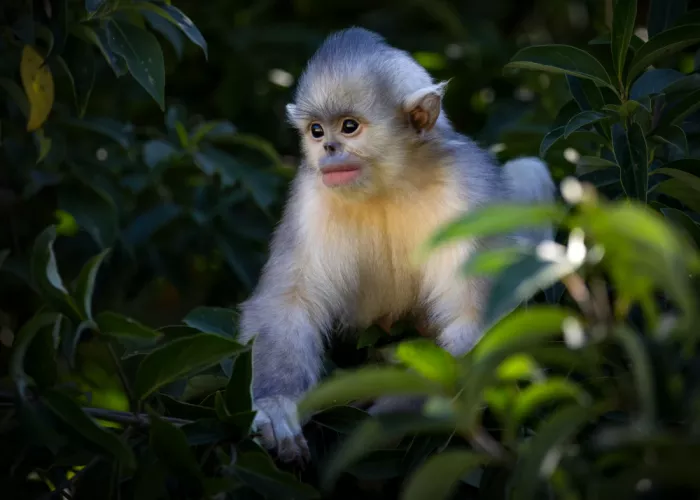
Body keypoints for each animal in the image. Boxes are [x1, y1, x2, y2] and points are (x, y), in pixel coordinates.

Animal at [237, 27, 556, 463]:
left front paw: (372, 427)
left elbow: (474, 320)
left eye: (349, 127)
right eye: (317, 131)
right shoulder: (310, 197)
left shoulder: (467, 188)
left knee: (530, 170)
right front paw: (277, 407)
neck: (390, 183)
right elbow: (288, 303)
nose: (329, 149)